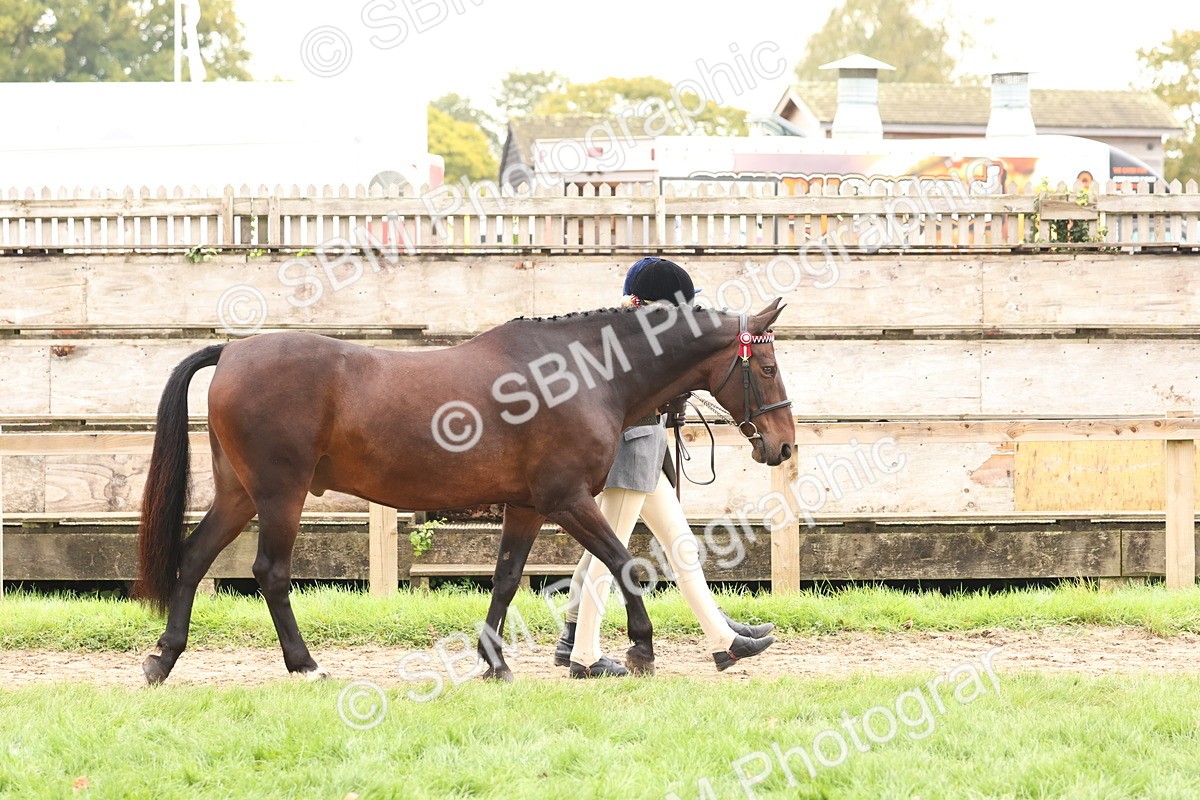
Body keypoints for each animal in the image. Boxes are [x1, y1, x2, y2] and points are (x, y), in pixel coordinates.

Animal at [134, 298, 794, 685]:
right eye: (766, 369)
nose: (783, 445)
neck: (581, 374)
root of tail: (234, 349)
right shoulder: (566, 500)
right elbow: (623, 563)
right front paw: (641, 648)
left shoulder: (526, 506)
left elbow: (505, 578)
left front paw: (494, 662)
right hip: (280, 495)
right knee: (270, 572)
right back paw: (306, 665)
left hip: (239, 494)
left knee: (194, 557)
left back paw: (163, 658)